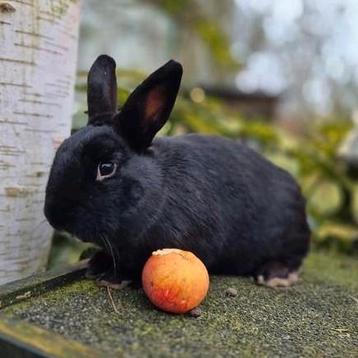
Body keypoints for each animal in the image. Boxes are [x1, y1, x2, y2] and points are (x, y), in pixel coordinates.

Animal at [43, 55, 310, 288]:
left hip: (288, 237)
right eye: (61, 150)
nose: (55, 217)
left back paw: (274, 274)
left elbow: (134, 265)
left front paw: (113, 278)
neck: (158, 191)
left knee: (295, 258)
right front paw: (97, 264)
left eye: (106, 168)